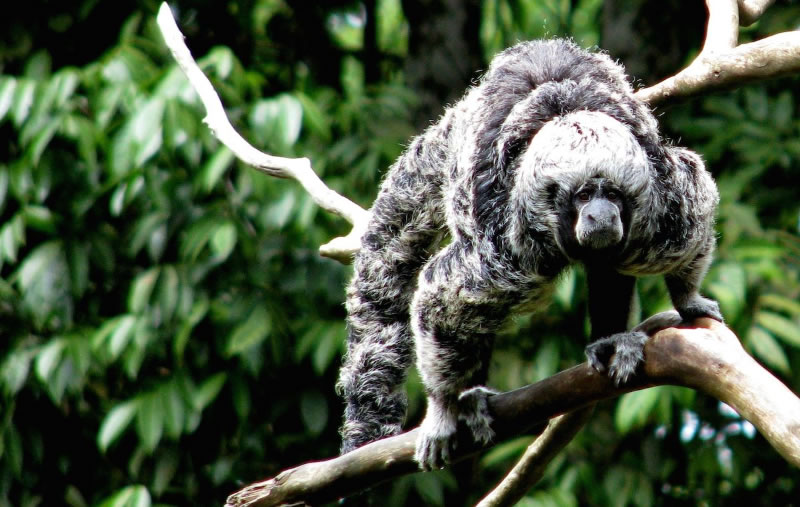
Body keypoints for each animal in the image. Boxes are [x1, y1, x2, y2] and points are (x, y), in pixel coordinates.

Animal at [336, 38, 722, 471]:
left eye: (612, 194)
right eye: (584, 196)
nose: (601, 214)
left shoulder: (660, 215)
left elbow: (696, 206)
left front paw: (687, 298)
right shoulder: (508, 254)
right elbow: (442, 299)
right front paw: (444, 406)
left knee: (608, 266)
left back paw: (611, 339)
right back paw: (470, 398)